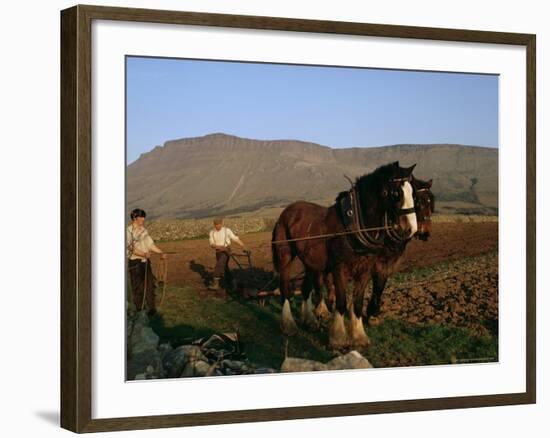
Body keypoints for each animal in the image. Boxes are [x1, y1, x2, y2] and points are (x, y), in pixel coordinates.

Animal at [272, 161, 418, 350]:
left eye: (413, 192)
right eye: (396, 193)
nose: (411, 229)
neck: (355, 225)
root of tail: (287, 212)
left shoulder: (365, 271)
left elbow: (357, 303)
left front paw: (359, 336)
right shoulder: (339, 269)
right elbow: (341, 302)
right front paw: (338, 338)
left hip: (310, 262)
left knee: (305, 289)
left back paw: (310, 321)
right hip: (285, 256)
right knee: (285, 289)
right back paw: (289, 324)